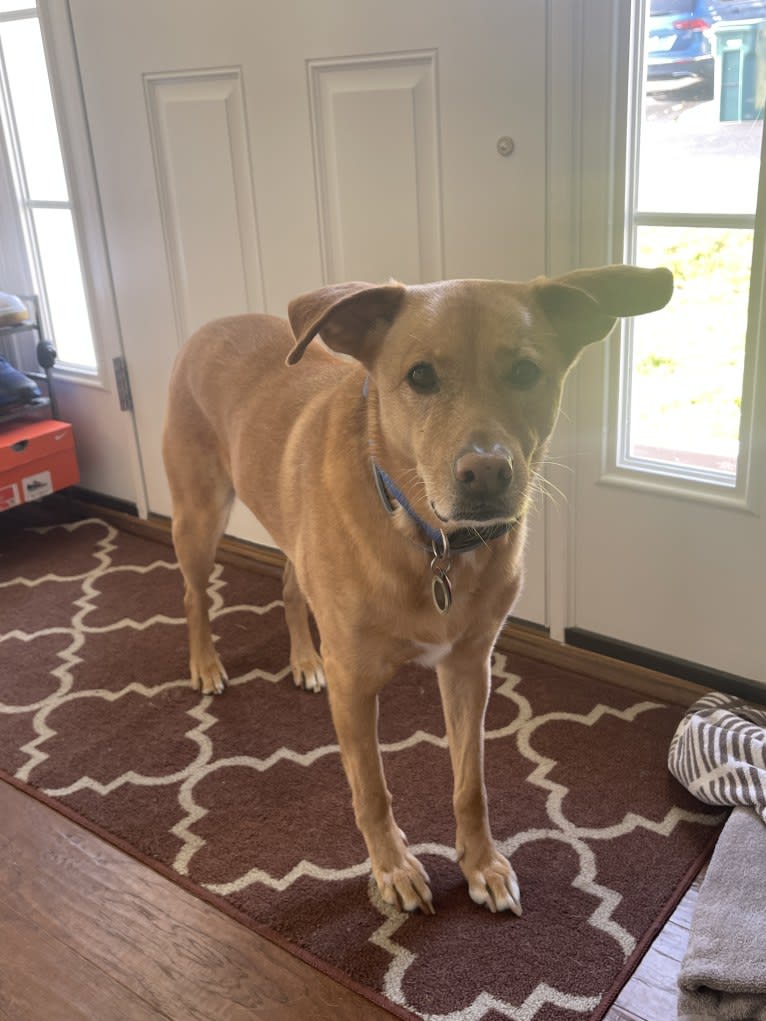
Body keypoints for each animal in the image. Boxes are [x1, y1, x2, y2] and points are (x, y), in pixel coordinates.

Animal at [162, 263, 669, 918]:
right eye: (420, 376)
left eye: (525, 371)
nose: (486, 474)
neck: (430, 541)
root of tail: (212, 324)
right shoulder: (354, 685)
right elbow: (372, 790)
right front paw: (394, 867)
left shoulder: (469, 668)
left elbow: (470, 785)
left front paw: (481, 864)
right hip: (199, 514)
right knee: (194, 595)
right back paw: (205, 663)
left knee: (290, 586)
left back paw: (304, 658)